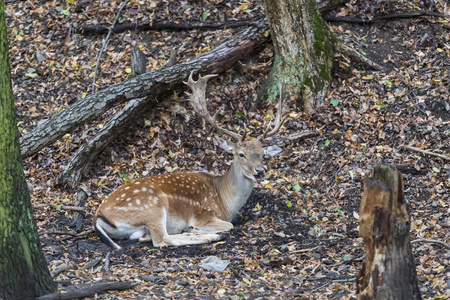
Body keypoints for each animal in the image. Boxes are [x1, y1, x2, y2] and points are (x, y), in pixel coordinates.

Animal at [92, 71, 284, 250]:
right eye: (241, 154)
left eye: (262, 153)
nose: (260, 171)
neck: (224, 201)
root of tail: (98, 217)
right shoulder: (202, 214)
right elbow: (229, 225)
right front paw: (199, 229)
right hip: (152, 207)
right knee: (161, 239)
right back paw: (206, 235)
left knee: (145, 237)